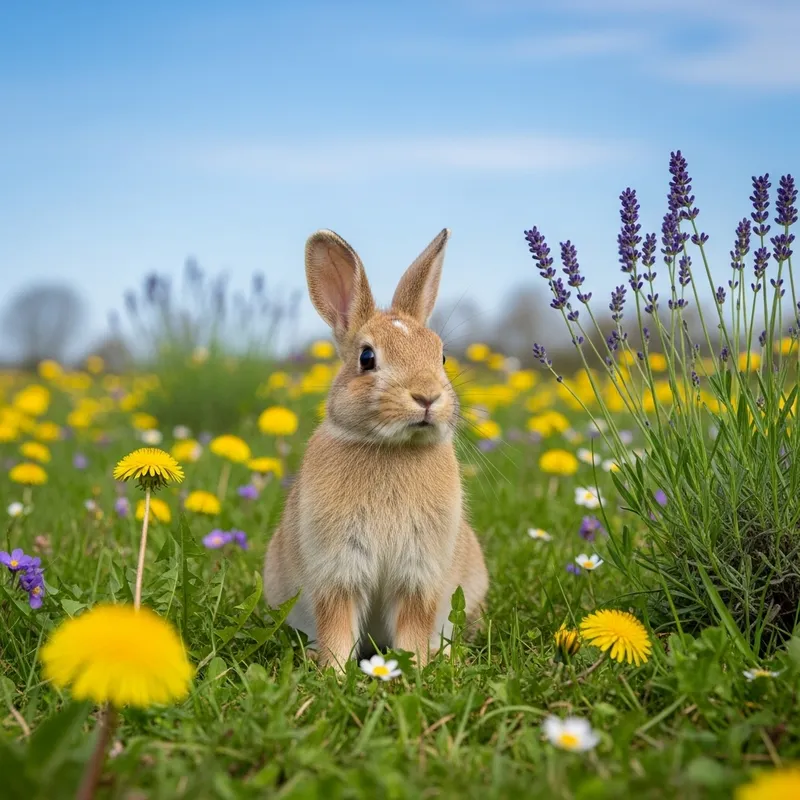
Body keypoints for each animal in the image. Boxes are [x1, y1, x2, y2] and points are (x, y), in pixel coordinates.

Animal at [263, 227, 489, 670]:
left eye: (441, 355)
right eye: (367, 358)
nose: (427, 396)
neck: (391, 447)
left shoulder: (419, 574)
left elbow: (413, 624)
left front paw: (414, 667)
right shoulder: (338, 571)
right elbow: (337, 624)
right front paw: (334, 672)